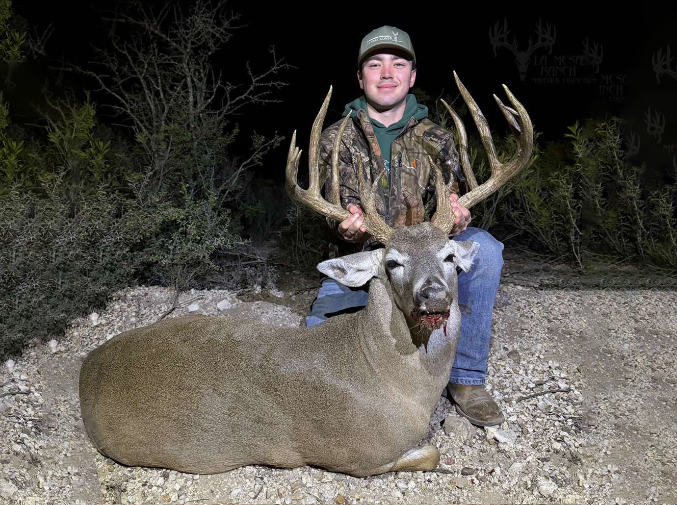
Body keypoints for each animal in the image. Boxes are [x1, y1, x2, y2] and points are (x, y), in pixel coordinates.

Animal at [78, 71, 533, 477]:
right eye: (393, 262)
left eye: (449, 257)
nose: (434, 295)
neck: (395, 378)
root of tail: (87, 370)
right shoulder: (359, 455)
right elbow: (432, 453)